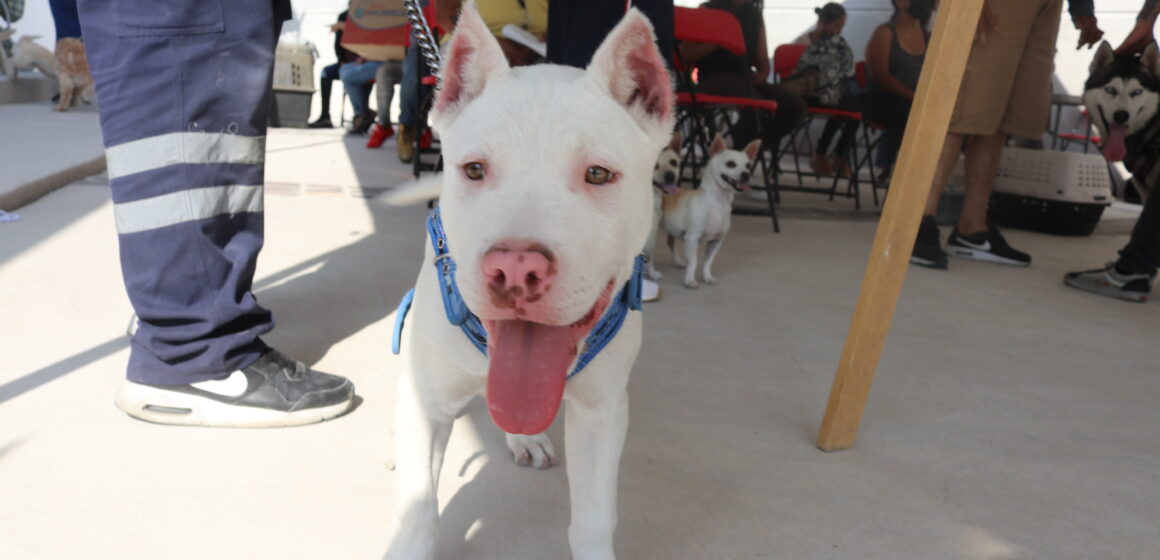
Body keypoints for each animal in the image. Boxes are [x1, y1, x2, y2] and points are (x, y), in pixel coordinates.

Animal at [382, 2, 672, 558]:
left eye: (598, 174)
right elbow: (418, 511)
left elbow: (594, 518)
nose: (515, 267)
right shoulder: (427, 405)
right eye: (474, 169)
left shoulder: (602, 412)